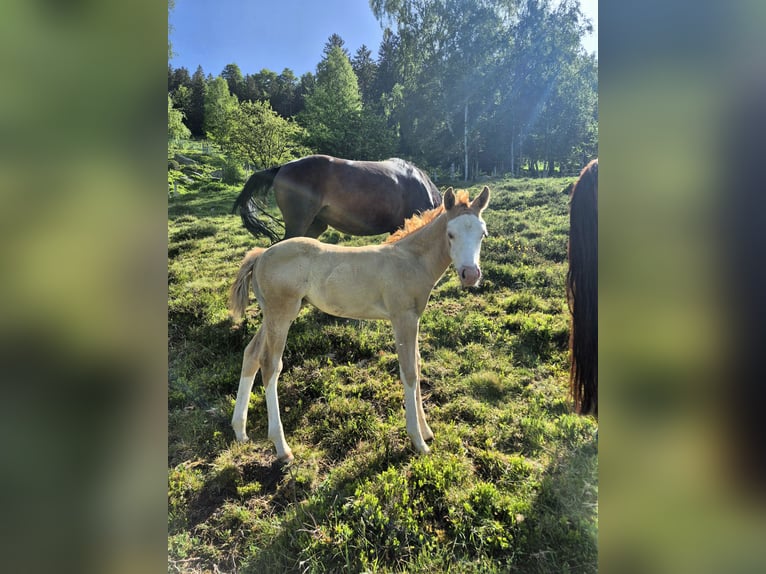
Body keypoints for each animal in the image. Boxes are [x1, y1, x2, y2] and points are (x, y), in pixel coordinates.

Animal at [228, 186, 491, 462]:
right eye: (451, 234)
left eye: (482, 234)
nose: (470, 275)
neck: (411, 260)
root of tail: (261, 256)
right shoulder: (402, 318)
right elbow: (409, 371)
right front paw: (418, 441)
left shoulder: (414, 318)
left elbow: (417, 365)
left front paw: (426, 431)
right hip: (281, 314)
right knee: (270, 365)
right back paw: (282, 447)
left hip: (272, 315)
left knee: (252, 354)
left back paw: (240, 430)